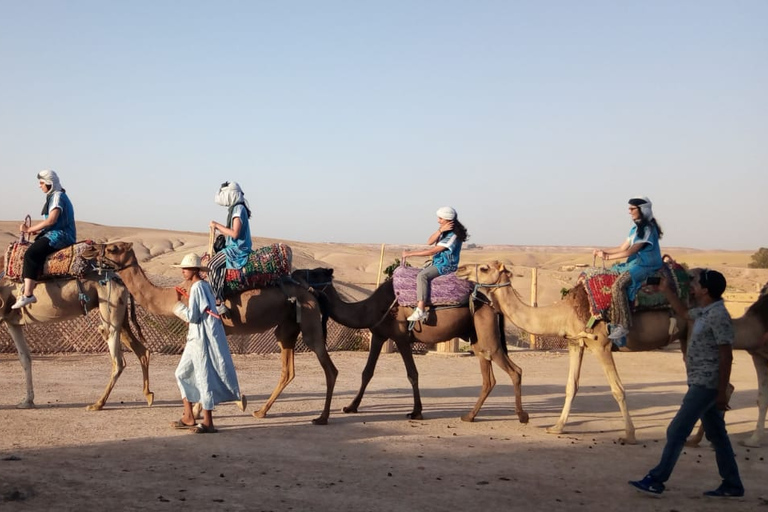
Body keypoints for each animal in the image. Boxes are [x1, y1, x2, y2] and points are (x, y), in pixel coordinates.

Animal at [0, 270, 154, 410]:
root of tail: (120, 280)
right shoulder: (12, 322)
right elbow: (25, 358)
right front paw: (27, 402)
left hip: (111, 306)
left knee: (117, 359)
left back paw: (97, 404)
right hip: (120, 315)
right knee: (141, 351)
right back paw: (148, 395)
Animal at [85, 242, 338, 426]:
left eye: (113, 249)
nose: (92, 251)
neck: (176, 293)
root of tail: (311, 292)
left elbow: (204, 367)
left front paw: (202, 411)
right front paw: (219, 406)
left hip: (309, 320)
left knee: (329, 367)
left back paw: (322, 417)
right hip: (286, 328)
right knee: (288, 371)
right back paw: (261, 411)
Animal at [292, 268, 528, 424]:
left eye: (314, 273)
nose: (294, 272)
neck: (370, 308)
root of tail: (492, 305)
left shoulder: (401, 338)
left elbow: (412, 374)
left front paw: (416, 412)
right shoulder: (379, 335)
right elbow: (367, 372)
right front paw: (351, 406)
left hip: (487, 332)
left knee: (514, 370)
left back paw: (522, 416)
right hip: (478, 337)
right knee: (488, 376)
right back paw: (469, 416)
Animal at [456, 262, 768, 446]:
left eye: (484, 268)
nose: (460, 269)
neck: (563, 311)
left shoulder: (601, 344)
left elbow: (617, 389)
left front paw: (629, 434)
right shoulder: (576, 344)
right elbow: (571, 387)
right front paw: (557, 427)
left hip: (693, 335)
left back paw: (699, 437)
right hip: (686, 338)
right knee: (724, 384)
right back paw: (700, 437)